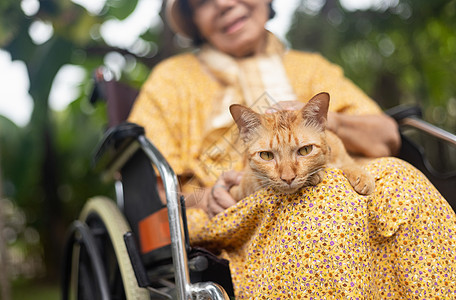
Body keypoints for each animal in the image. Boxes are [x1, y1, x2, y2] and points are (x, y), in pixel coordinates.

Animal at [228, 92, 374, 200]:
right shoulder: (240, 189)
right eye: (267, 155)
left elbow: (349, 164)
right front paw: (316, 175)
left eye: (305, 150)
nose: (288, 178)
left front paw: (362, 176)